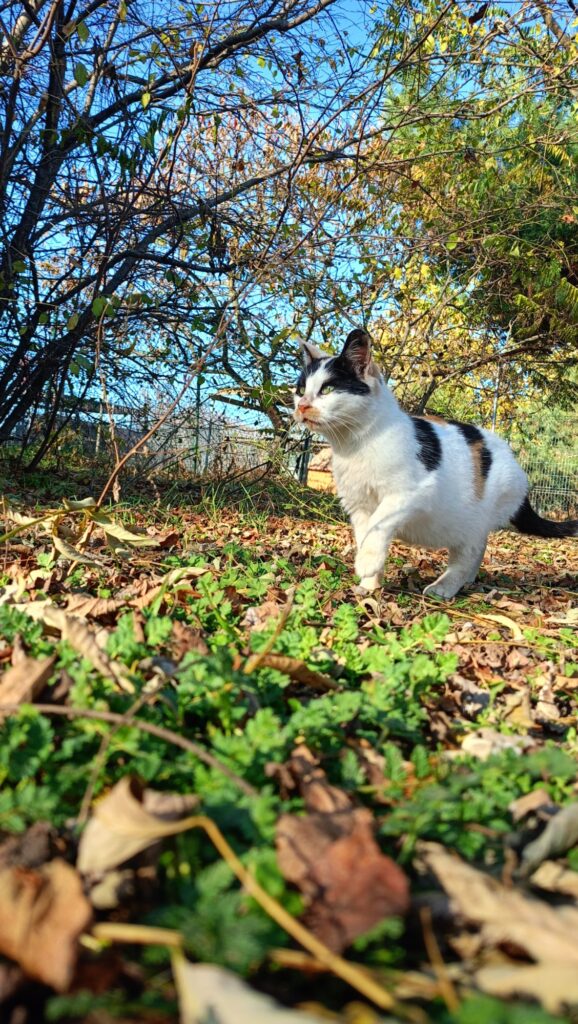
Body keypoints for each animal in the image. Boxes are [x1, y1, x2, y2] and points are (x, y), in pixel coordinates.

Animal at [294, 328, 577, 598]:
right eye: (300, 390)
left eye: (327, 389)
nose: (302, 405)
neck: (354, 445)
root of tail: (512, 458)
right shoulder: (359, 506)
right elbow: (366, 534)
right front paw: (370, 584)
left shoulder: (411, 492)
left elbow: (379, 523)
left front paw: (366, 564)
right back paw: (467, 580)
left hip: (477, 518)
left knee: (469, 552)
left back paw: (444, 587)